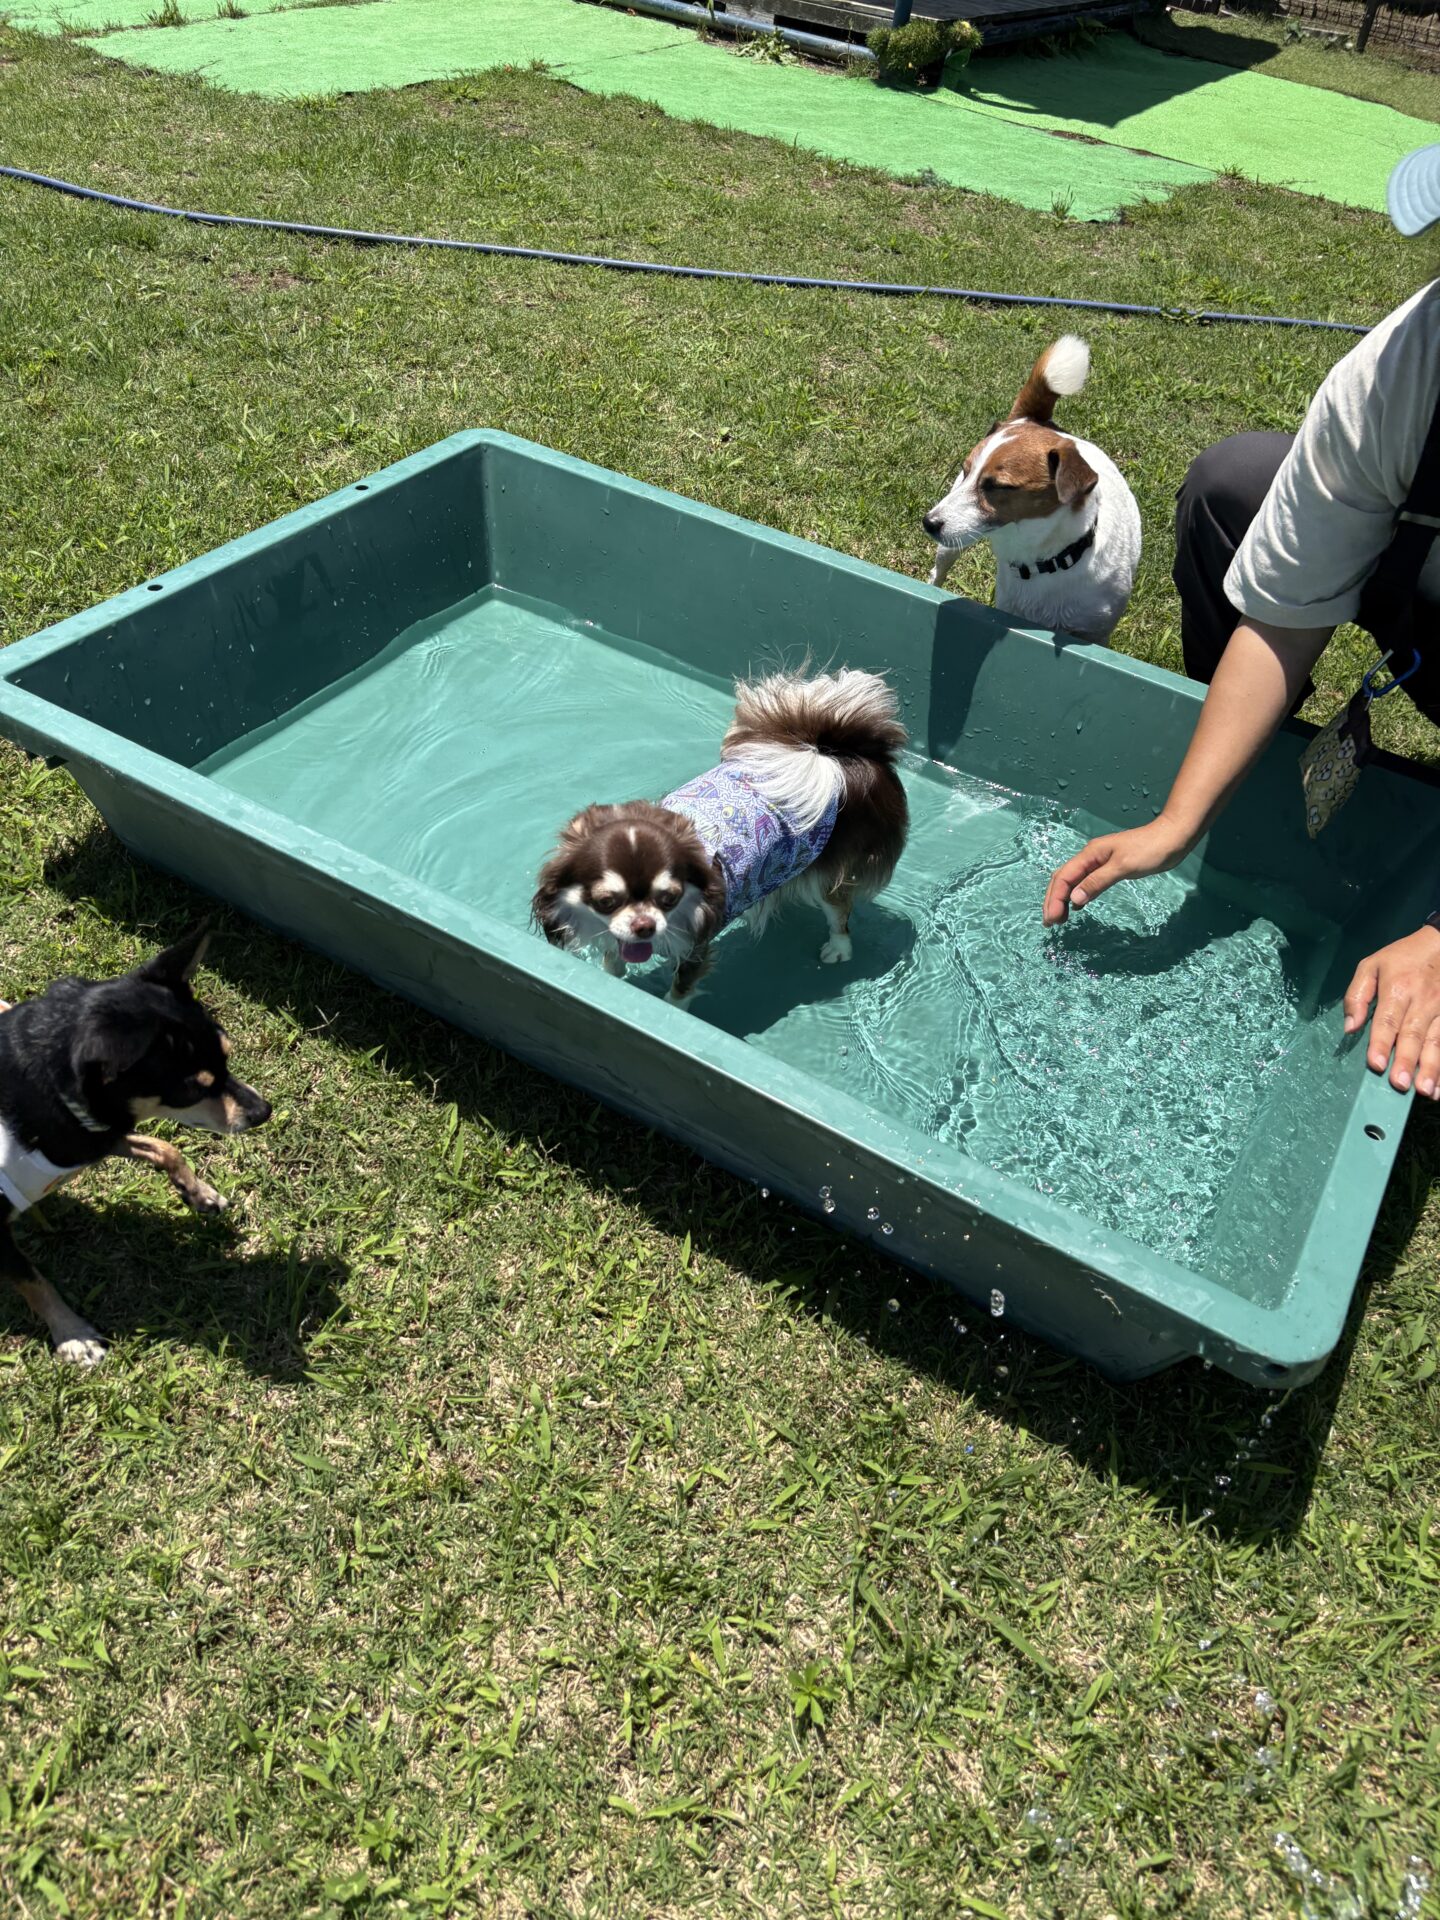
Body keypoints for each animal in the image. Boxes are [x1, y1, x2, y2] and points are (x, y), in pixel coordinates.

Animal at [0, 926, 271, 1365]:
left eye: (228, 1056)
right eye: (192, 1089)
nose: (264, 1111)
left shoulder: (94, 1135)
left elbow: (161, 1146)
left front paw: (198, 1192)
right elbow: (32, 1280)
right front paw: (72, 1334)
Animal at [532, 667, 908, 1003]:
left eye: (669, 898)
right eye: (605, 902)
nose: (644, 927)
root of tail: (842, 756)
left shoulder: (696, 947)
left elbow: (678, 993)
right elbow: (613, 957)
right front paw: (611, 976)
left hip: (829, 870)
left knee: (839, 909)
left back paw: (838, 948)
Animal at [922, 334, 1140, 644]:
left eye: (997, 485)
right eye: (966, 471)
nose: (928, 522)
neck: (1047, 560)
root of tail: (1033, 420)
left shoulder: (1096, 633)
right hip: (950, 543)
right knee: (939, 569)